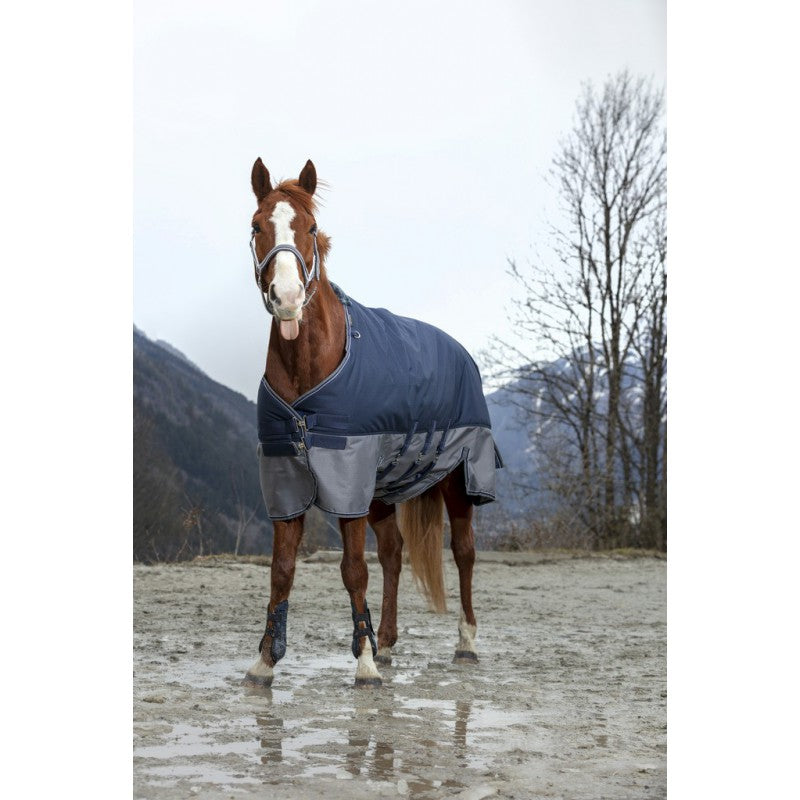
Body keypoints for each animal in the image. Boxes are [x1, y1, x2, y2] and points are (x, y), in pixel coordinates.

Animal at [243, 158, 501, 688]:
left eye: (311, 228)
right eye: (257, 226)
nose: (287, 297)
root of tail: (462, 351)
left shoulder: (349, 481)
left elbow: (353, 570)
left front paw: (362, 664)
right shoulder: (286, 479)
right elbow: (282, 569)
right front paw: (265, 662)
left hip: (460, 478)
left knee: (464, 551)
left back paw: (465, 643)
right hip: (384, 488)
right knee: (395, 553)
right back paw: (386, 641)